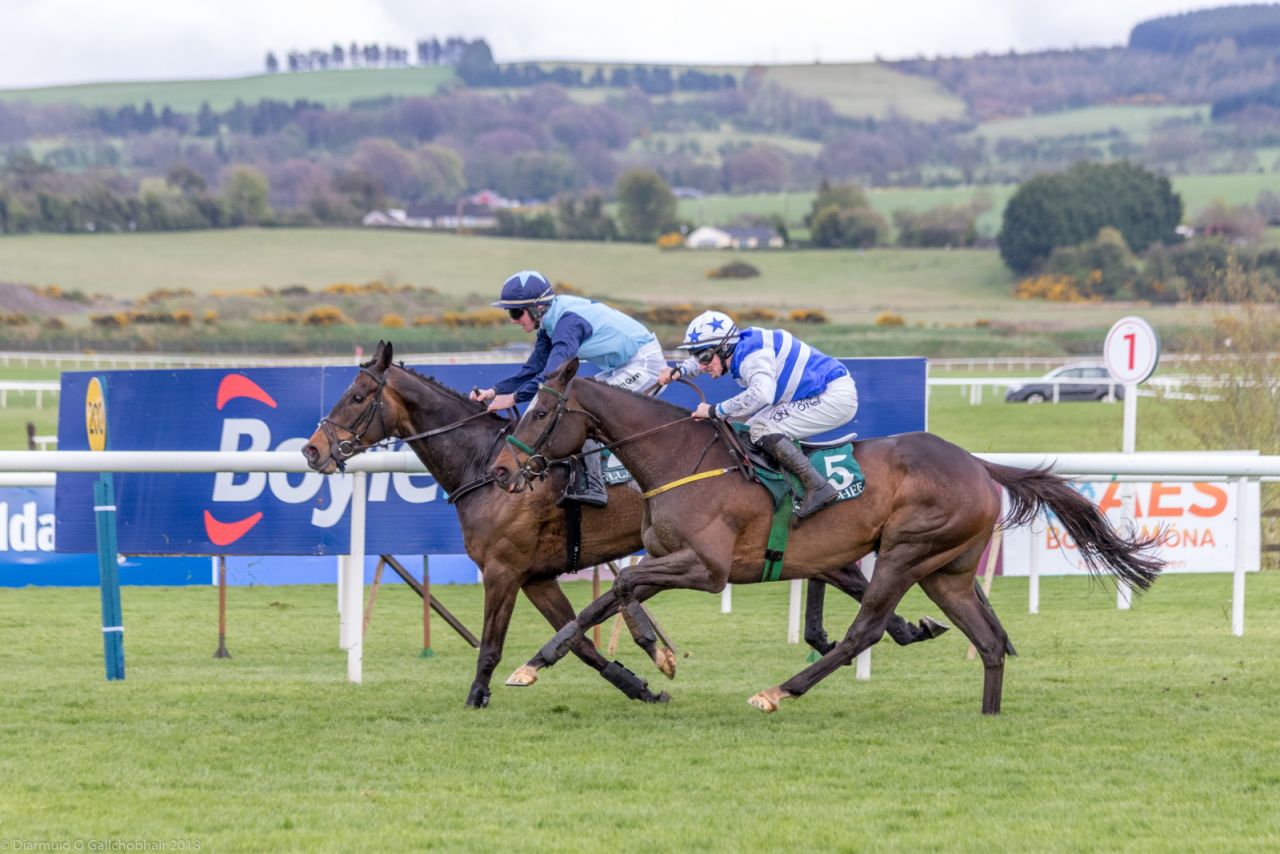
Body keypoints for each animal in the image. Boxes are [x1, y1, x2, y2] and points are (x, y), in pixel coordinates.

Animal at [299, 340, 942, 706]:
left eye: (356, 395)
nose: (311, 451)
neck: (483, 463)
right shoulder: (538, 576)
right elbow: (582, 640)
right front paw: (640, 683)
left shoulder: (504, 569)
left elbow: (493, 642)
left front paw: (477, 695)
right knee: (846, 578)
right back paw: (905, 628)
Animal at [491, 358, 1172, 717]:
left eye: (540, 412)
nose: (500, 472)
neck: (678, 456)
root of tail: (979, 465)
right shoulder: (672, 558)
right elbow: (609, 596)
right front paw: (534, 664)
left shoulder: (707, 569)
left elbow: (625, 583)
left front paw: (648, 656)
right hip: (946, 572)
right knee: (989, 639)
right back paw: (989, 714)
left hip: (906, 553)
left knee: (865, 630)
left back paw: (778, 691)